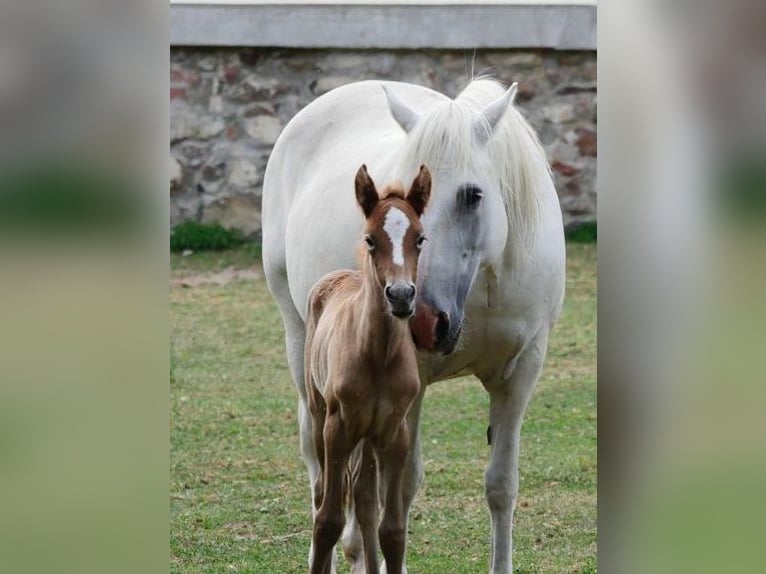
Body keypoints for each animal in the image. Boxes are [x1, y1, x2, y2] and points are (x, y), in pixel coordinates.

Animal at [304, 164, 432, 572]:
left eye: (420, 238)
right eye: (371, 239)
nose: (401, 296)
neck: (377, 355)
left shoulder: (394, 432)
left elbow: (391, 529)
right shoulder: (338, 427)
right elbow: (328, 520)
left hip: (370, 435)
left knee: (362, 496)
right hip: (319, 413)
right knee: (323, 494)